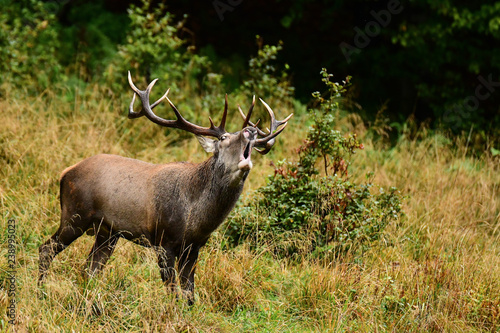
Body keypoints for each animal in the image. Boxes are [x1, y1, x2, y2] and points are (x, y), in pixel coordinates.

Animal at [38, 71, 292, 302]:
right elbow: (173, 292)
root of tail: (65, 172)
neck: (195, 219)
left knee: (90, 268)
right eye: (223, 138)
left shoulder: (194, 247)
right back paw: (41, 291)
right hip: (75, 215)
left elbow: (189, 295)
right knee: (47, 249)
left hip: (107, 233)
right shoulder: (163, 240)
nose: (252, 130)